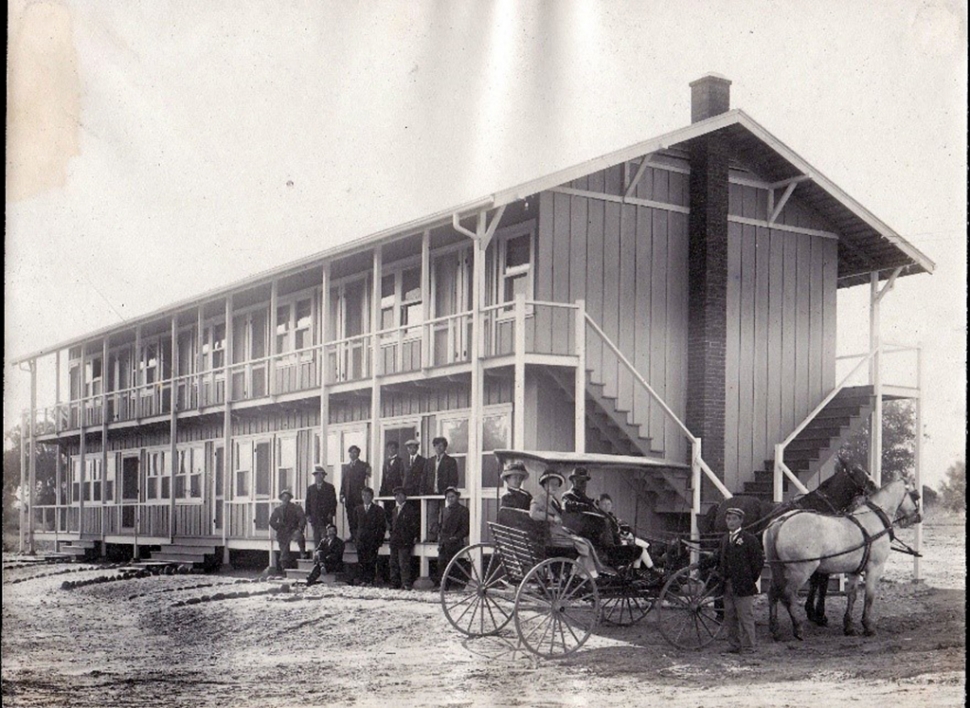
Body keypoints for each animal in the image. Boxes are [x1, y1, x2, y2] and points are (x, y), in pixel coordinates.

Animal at [700, 462, 872, 628]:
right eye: (860, 472)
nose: (873, 485)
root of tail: (721, 506)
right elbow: (821, 584)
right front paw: (820, 615)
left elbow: (815, 583)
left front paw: (812, 612)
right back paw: (720, 612)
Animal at [764, 478, 916, 640]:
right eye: (915, 495)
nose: (918, 516)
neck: (874, 520)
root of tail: (781, 521)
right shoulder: (875, 568)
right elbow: (869, 597)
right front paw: (868, 626)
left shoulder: (854, 571)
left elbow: (852, 596)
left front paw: (849, 627)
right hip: (801, 571)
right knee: (789, 594)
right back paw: (798, 628)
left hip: (778, 568)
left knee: (772, 593)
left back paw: (774, 629)